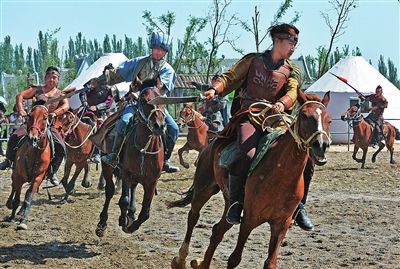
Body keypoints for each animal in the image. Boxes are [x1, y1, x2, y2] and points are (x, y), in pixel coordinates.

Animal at [4, 101, 52, 229]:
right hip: (14, 173)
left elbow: (28, 197)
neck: (35, 153)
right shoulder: (18, 176)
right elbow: (17, 196)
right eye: (30, 116)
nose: (32, 138)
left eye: (45, 118)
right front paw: (11, 216)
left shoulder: (38, 178)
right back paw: (10, 204)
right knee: (13, 187)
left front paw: (23, 221)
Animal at [95, 85, 166, 234]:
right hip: (108, 165)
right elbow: (124, 200)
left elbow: (145, 212)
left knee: (132, 188)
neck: (145, 148)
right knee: (110, 191)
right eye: (144, 100)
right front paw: (124, 220)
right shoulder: (126, 173)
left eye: (164, 100)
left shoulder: (152, 181)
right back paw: (102, 223)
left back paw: (131, 213)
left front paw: (131, 225)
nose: (159, 126)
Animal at [167, 89, 330, 266]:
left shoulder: (281, 225)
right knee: (193, 216)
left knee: (217, 231)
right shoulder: (249, 220)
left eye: (328, 119)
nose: (321, 145)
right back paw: (180, 258)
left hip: (229, 202)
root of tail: (211, 144)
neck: (281, 175)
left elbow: (270, 262)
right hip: (204, 189)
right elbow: (234, 259)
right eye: (305, 116)